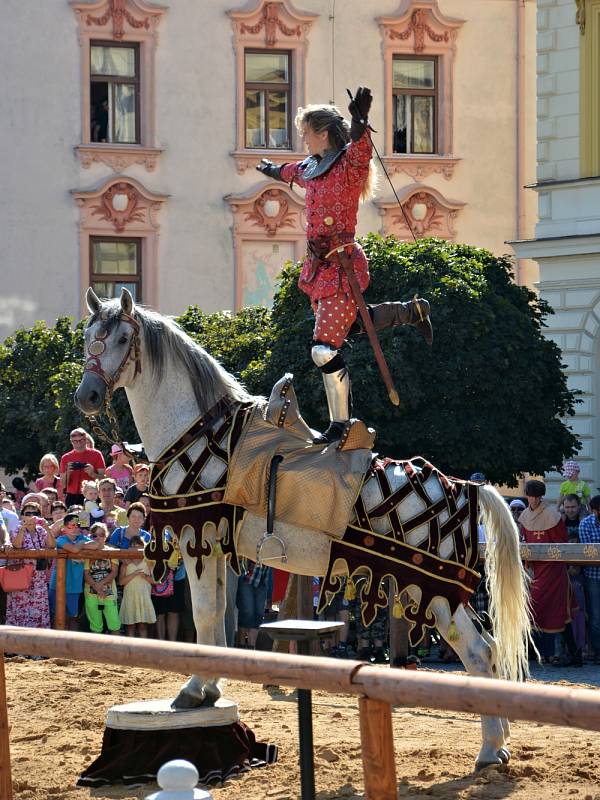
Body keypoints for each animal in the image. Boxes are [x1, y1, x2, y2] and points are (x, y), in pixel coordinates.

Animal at [74, 288, 528, 768]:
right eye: (88, 337)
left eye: (122, 338)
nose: (88, 396)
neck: (202, 432)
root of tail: (467, 490)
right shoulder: (215, 546)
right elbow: (215, 622)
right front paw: (209, 689)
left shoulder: (199, 538)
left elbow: (205, 615)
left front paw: (195, 690)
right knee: (489, 647)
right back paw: (499, 740)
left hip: (436, 593)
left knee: (478, 652)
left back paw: (489, 749)